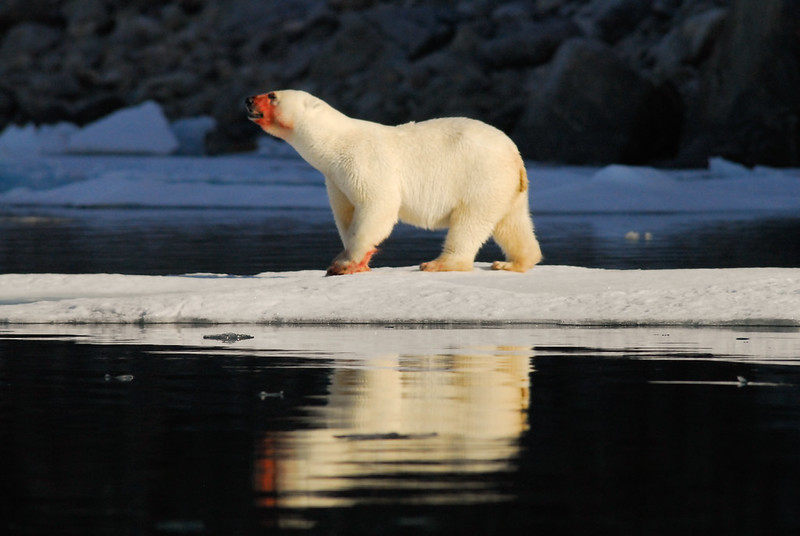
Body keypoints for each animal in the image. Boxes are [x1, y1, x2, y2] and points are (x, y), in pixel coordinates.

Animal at [246, 90, 542, 276]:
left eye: (272, 95)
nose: (248, 99)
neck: (335, 142)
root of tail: (515, 155)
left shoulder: (364, 162)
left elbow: (377, 206)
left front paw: (344, 263)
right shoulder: (335, 179)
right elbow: (346, 214)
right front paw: (357, 263)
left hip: (479, 176)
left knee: (470, 222)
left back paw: (439, 263)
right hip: (506, 187)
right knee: (512, 223)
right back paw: (513, 263)